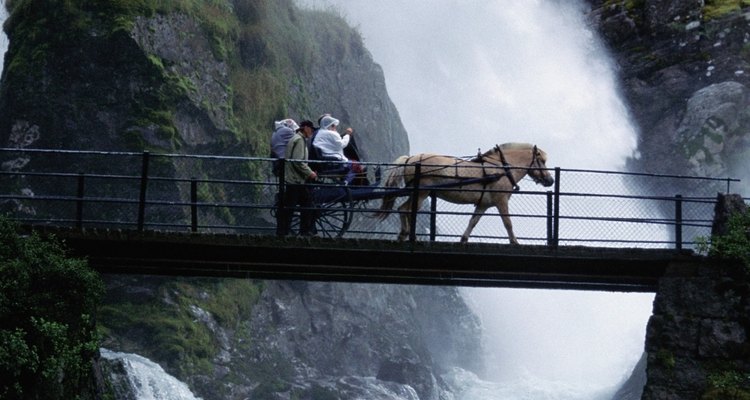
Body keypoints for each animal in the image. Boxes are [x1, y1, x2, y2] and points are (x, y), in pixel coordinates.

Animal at [378, 144, 556, 244]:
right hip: (421, 193)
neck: (501, 169)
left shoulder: (483, 204)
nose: (550, 180)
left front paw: (463, 239)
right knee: (405, 209)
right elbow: (508, 223)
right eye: (542, 161)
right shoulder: (501, 201)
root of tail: (411, 158)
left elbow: (473, 221)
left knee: (404, 209)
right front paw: (515, 242)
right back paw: (406, 235)